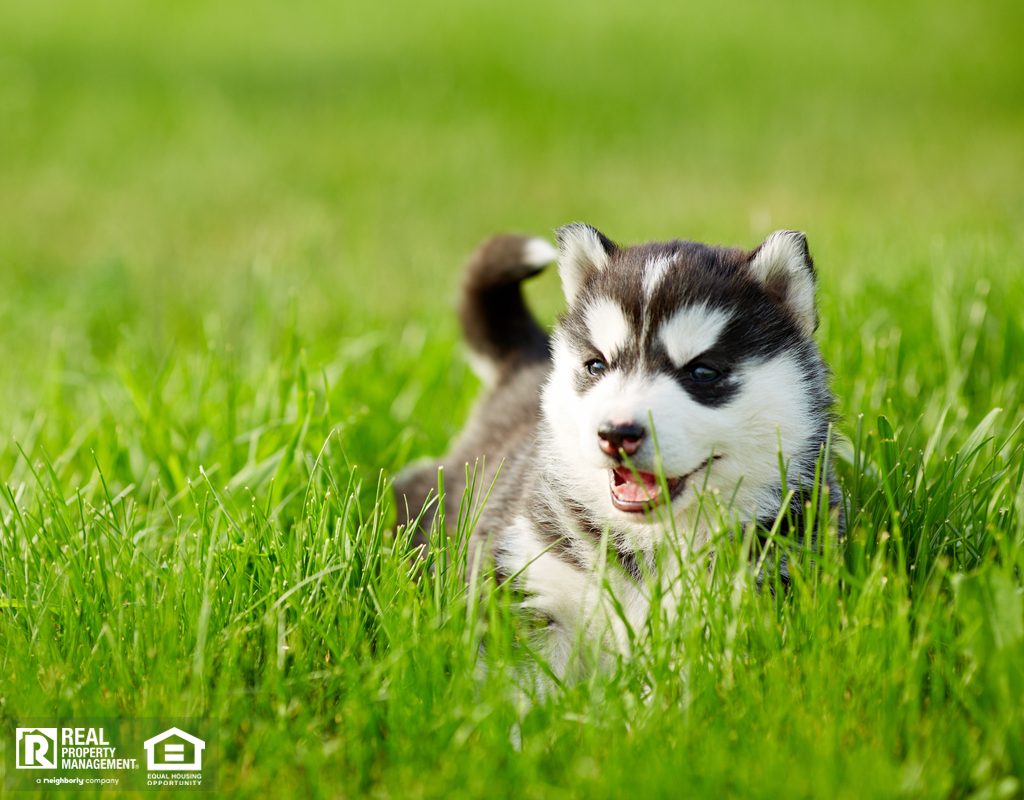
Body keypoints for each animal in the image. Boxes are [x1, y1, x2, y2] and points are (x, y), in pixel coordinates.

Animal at [393, 226, 839, 680]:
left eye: (702, 371)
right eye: (596, 365)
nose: (616, 434)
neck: (653, 543)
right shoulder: (529, 583)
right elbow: (522, 679)